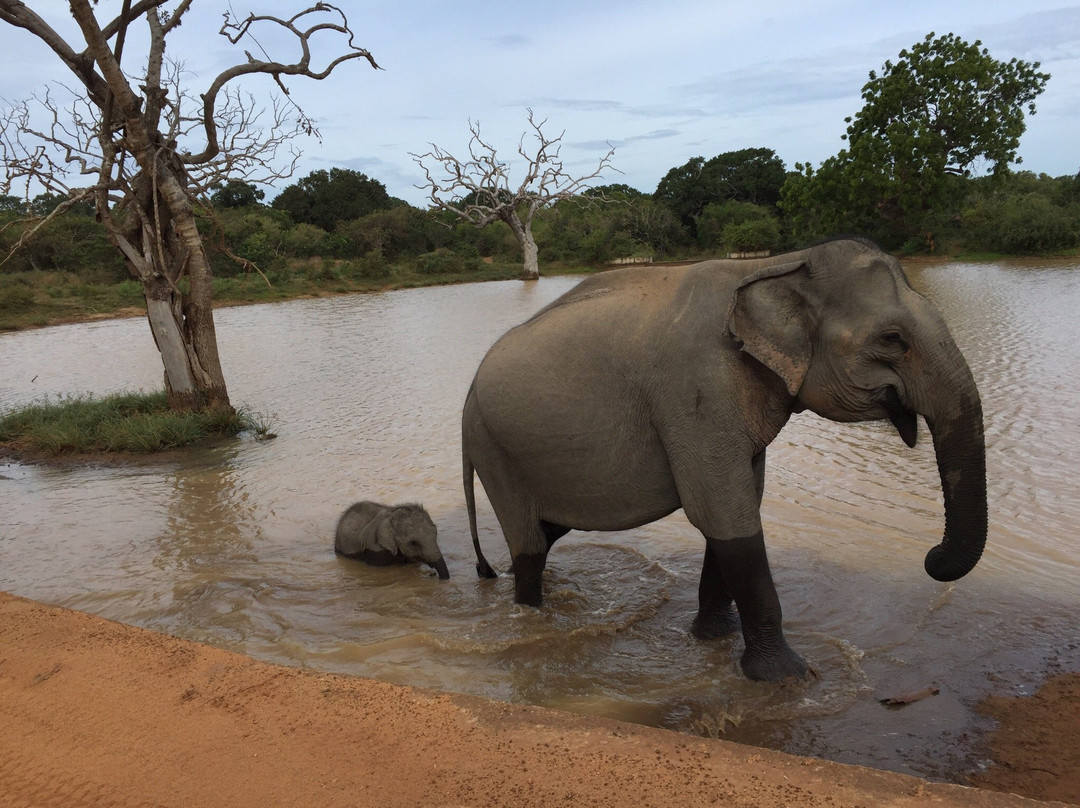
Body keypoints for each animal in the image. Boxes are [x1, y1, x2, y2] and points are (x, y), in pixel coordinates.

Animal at [460, 235, 984, 682]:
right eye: (893, 339)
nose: (931, 556)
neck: (776, 265)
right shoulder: (698, 393)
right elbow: (722, 512)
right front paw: (788, 678)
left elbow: (737, 505)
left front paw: (712, 639)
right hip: (494, 449)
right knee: (529, 543)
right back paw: (528, 613)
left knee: (547, 532)